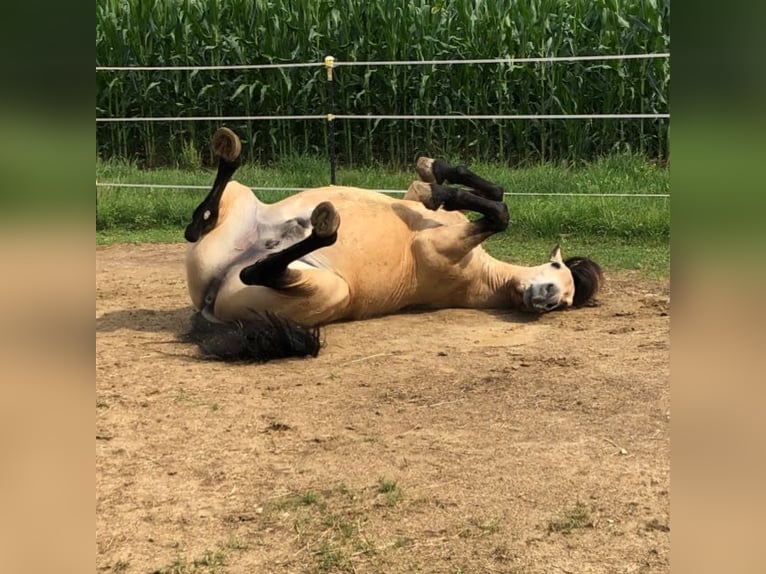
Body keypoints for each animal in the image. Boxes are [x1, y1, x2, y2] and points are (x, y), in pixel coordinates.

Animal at [183, 128, 604, 362]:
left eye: (566, 303)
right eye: (556, 269)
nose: (547, 298)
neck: (484, 276)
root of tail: (208, 304)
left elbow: (500, 213)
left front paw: (436, 188)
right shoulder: (419, 210)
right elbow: (494, 194)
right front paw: (433, 171)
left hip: (328, 289)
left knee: (257, 270)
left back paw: (322, 227)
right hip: (238, 202)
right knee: (199, 220)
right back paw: (230, 151)